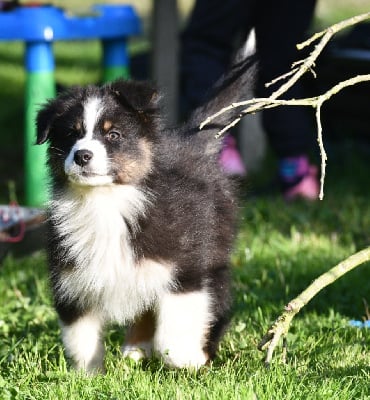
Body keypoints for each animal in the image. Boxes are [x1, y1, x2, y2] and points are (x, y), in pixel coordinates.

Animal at [36, 55, 258, 372]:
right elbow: (81, 339)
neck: (106, 201)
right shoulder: (71, 280)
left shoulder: (186, 268)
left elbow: (173, 336)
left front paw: (189, 359)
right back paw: (135, 348)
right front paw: (87, 376)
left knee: (216, 303)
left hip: (215, 252)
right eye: (71, 134)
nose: (82, 155)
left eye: (113, 134)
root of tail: (190, 141)